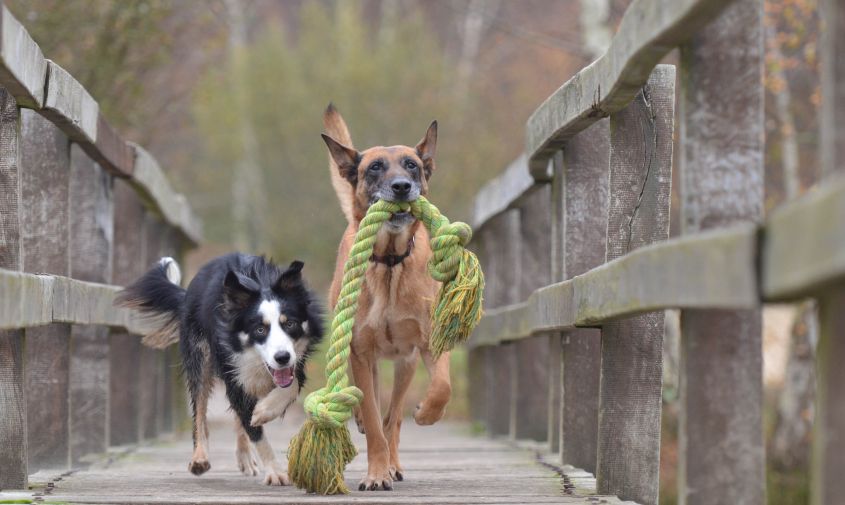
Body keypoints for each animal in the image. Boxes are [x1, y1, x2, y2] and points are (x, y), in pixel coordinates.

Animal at [120, 254, 324, 486]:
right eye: (260, 330)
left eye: (289, 324)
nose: (282, 357)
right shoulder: (233, 370)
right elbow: (255, 431)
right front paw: (275, 471)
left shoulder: (296, 361)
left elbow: (291, 385)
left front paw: (264, 410)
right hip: (199, 355)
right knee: (200, 410)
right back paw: (199, 458)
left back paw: (245, 456)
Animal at [320, 104, 452, 490]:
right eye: (375, 167)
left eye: (412, 165)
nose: (402, 187)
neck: (391, 262)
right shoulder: (360, 352)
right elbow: (374, 419)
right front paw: (376, 474)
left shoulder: (429, 343)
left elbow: (441, 386)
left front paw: (426, 413)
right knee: (375, 410)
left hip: (405, 364)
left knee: (393, 417)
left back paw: (395, 460)